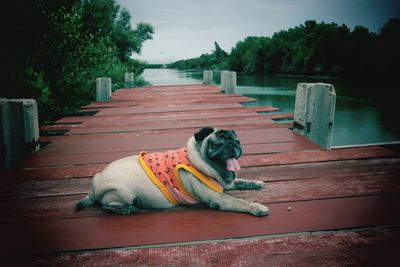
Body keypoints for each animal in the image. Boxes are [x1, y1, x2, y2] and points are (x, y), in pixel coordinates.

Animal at [76, 127, 268, 218]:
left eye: (237, 141)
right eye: (217, 144)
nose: (232, 146)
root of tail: (95, 181)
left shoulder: (223, 183)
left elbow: (240, 181)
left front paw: (255, 183)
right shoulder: (218, 197)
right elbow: (239, 202)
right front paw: (257, 207)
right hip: (123, 193)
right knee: (107, 206)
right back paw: (127, 209)